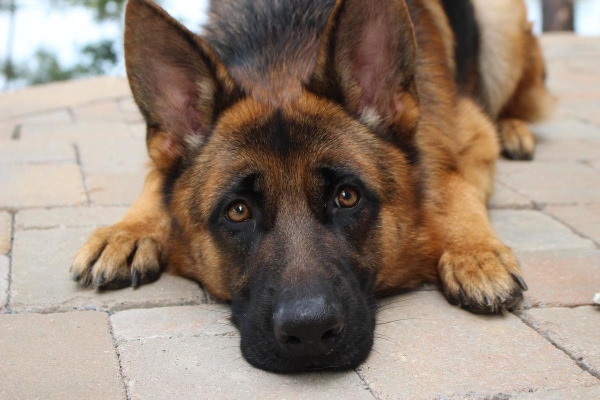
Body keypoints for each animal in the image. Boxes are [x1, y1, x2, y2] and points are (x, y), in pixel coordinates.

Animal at [70, 0, 552, 372]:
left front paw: (474, 252)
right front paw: (128, 231)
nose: (310, 333)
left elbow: (453, 184)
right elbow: (156, 178)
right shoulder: (163, 161)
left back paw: (515, 129)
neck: (281, 55)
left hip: (502, 25)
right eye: (237, 210)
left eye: (347, 197)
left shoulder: (470, 132)